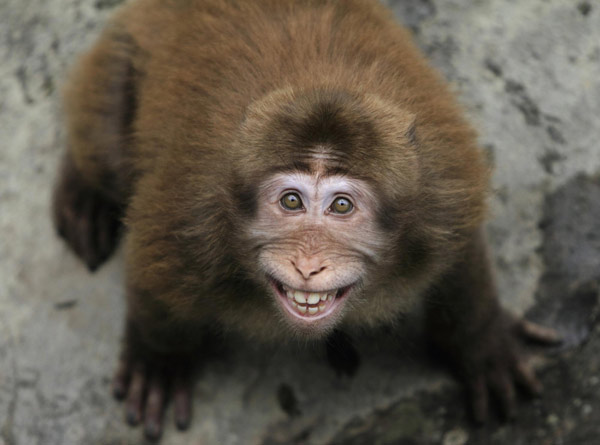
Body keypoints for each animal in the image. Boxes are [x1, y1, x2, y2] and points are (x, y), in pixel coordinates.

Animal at [51, 0, 556, 438]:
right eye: (291, 202)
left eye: (342, 206)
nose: (308, 264)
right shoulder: (187, 218)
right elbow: (153, 281)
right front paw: (157, 359)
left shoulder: (442, 193)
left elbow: (460, 257)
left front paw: (483, 344)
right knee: (107, 153)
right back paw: (83, 190)